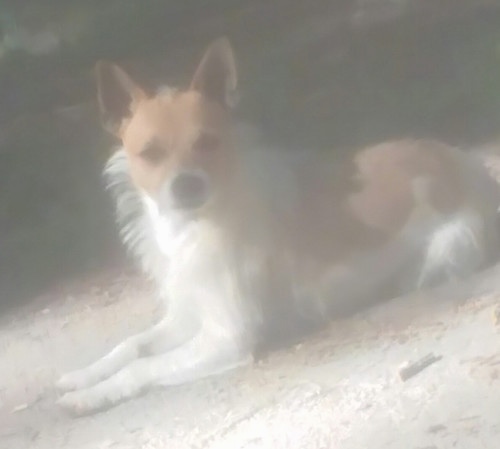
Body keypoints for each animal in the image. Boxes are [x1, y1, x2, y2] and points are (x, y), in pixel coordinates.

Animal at [55, 36, 500, 414]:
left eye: (208, 143)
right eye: (150, 154)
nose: (187, 184)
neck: (195, 224)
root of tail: (473, 171)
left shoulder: (226, 338)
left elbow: (143, 366)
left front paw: (95, 395)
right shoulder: (187, 315)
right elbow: (131, 346)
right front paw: (82, 377)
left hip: (445, 249)